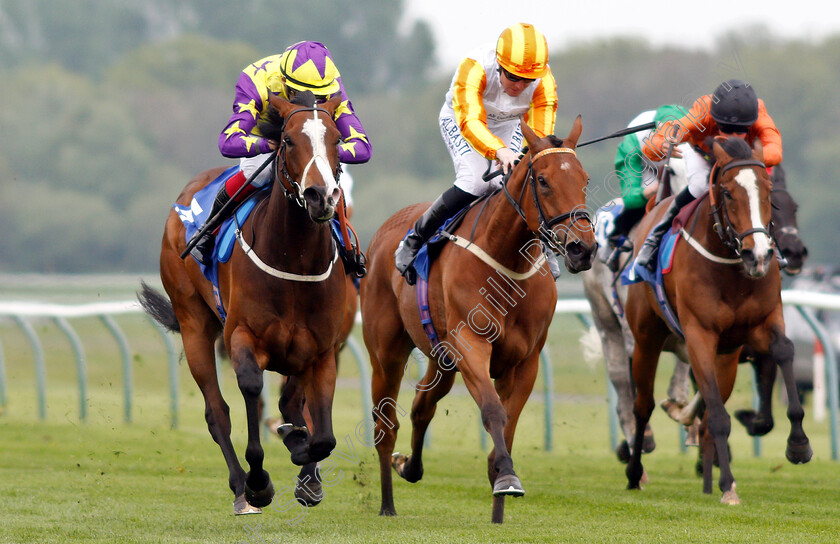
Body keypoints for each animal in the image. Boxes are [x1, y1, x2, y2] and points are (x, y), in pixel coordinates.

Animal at [139, 90, 346, 516]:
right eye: (287, 141)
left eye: (336, 140)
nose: (320, 196)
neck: (294, 260)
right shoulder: (242, 336)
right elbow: (251, 389)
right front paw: (259, 483)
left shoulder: (321, 350)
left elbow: (322, 434)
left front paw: (305, 469)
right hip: (194, 324)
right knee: (217, 412)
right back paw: (241, 489)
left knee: (290, 403)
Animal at [360, 118, 596, 524]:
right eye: (544, 180)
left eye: (583, 178)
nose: (584, 248)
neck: (506, 263)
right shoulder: (472, 345)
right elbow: (493, 411)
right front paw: (507, 477)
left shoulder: (525, 361)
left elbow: (510, 422)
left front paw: (499, 496)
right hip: (386, 353)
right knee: (385, 424)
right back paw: (387, 503)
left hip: (442, 358)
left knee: (423, 404)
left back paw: (410, 466)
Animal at [624, 138, 812, 504]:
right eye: (726, 192)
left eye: (769, 192)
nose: (759, 255)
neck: (731, 268)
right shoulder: (700, 334)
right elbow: (718, 416)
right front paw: (727, 486)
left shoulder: (763, 322)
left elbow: (783, 351)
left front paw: (798, 445)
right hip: (646, 339)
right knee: (643, 406)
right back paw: (636, 472)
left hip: (726, 355)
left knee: (708, 410)